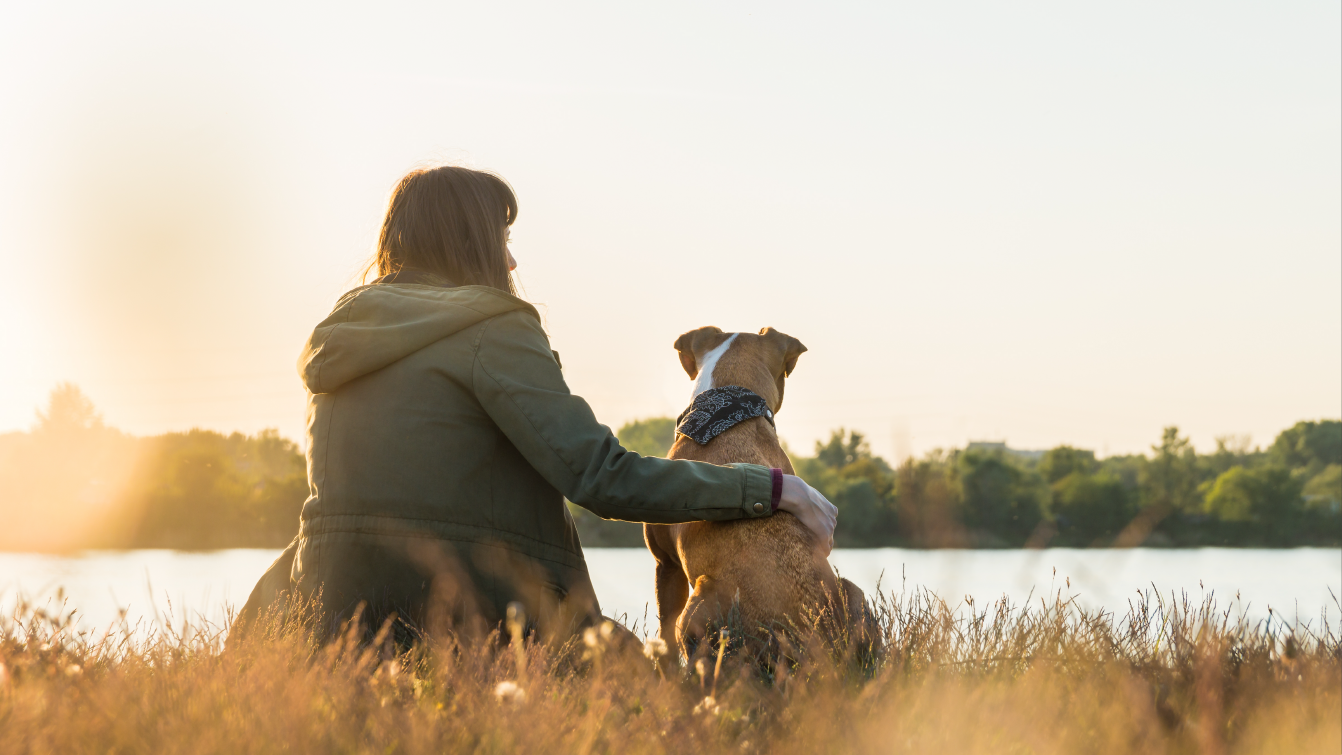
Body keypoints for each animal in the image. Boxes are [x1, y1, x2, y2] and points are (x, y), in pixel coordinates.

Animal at [644, 324, 874, 667]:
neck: (730, 414)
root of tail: (806, 645)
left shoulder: (666, 564)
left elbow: (666, 646)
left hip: (699, 602)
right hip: (853, 592)